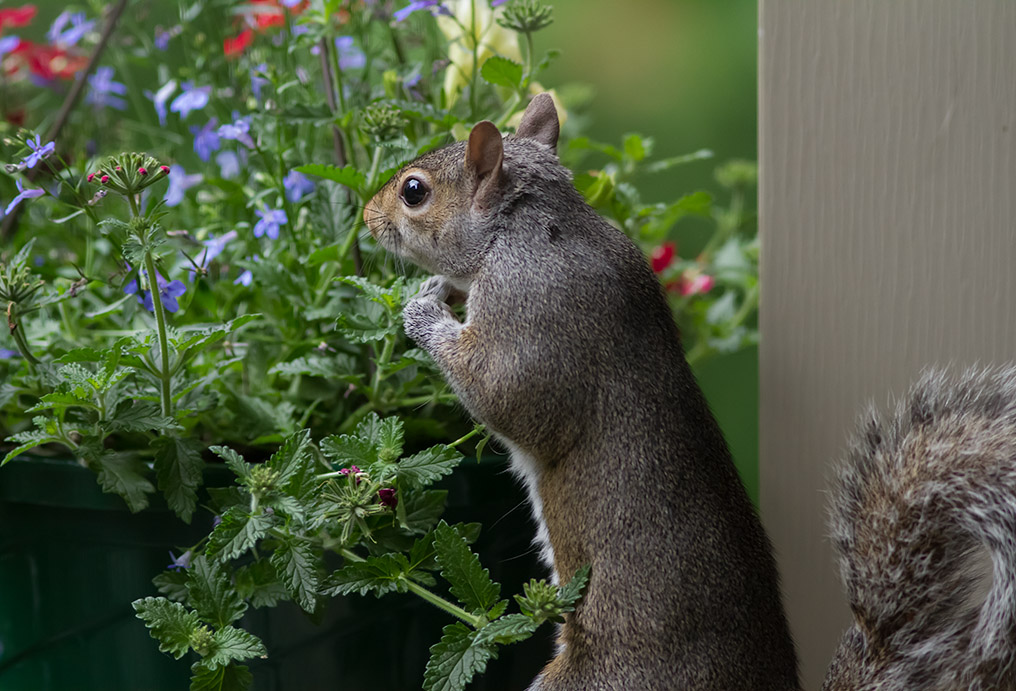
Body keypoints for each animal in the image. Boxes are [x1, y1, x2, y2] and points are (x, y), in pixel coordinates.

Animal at [363, 92, 800, 691]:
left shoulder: (528, 312)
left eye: (413, 191)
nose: (365, 216)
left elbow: (504, 396)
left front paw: (423, 309)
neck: (524, 229)